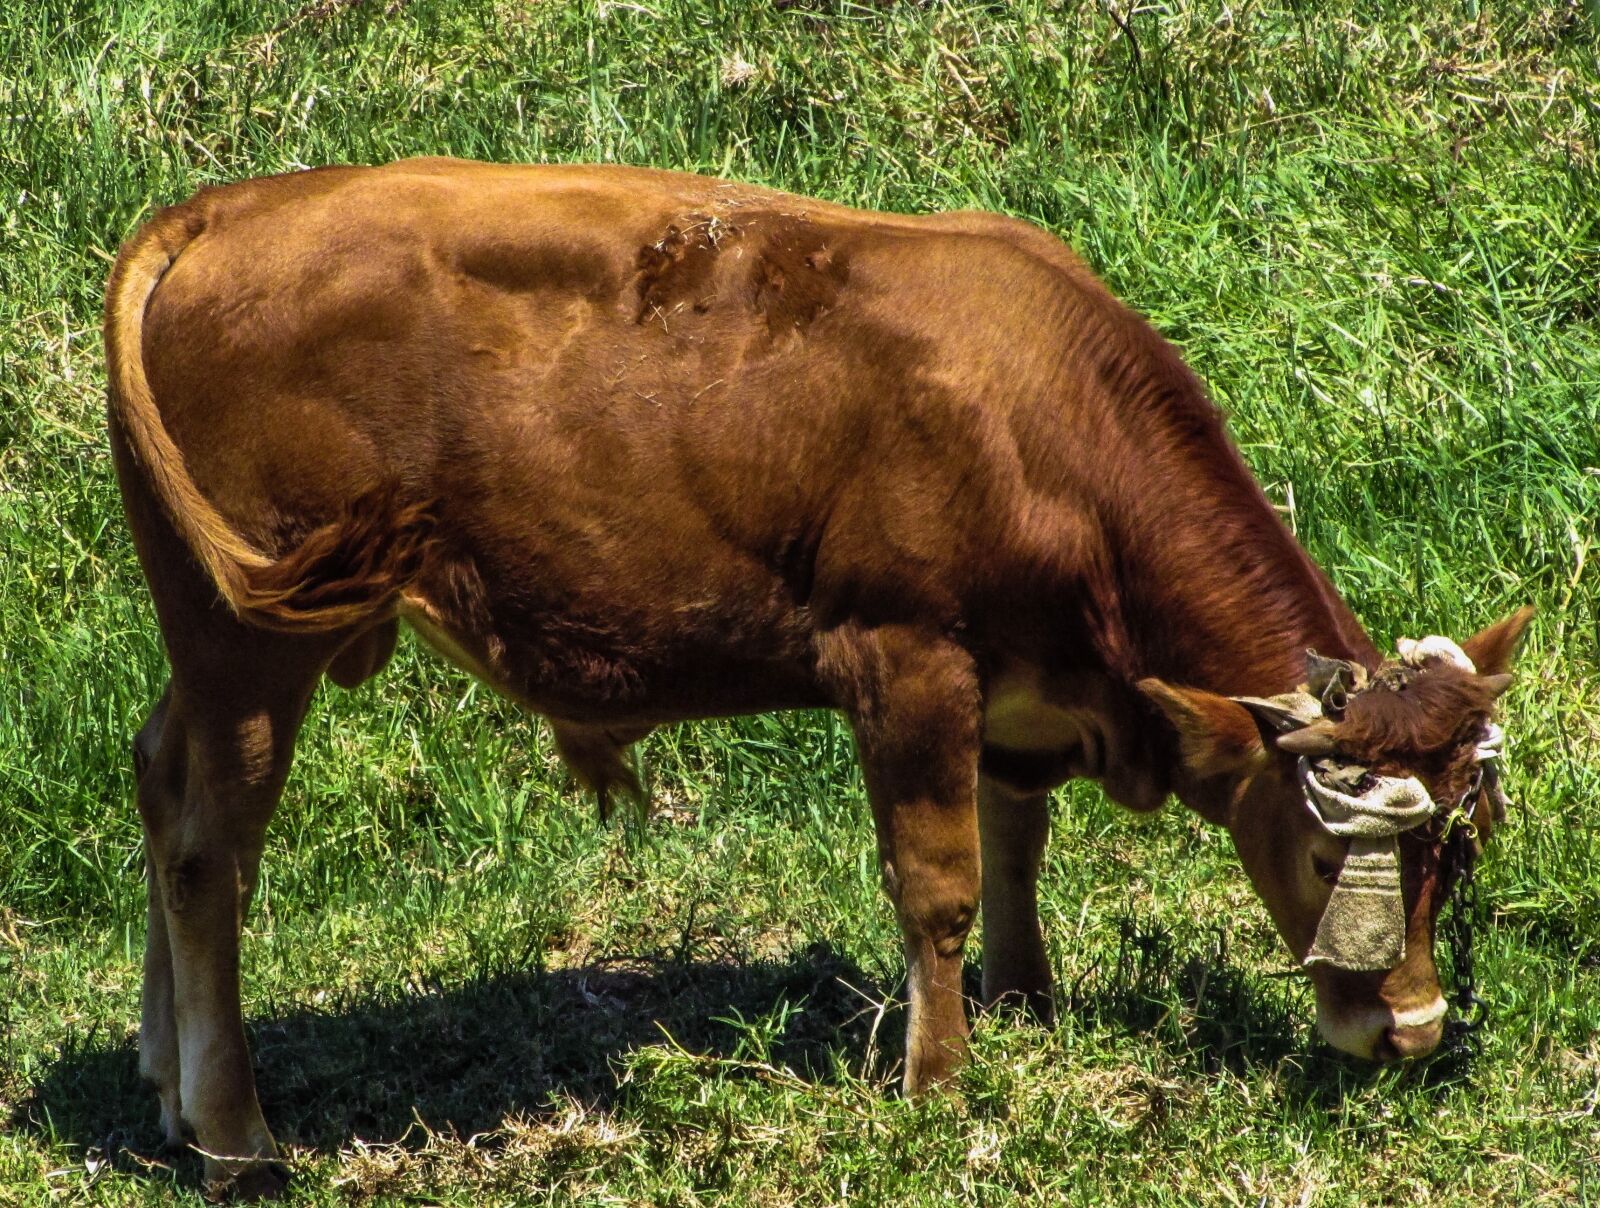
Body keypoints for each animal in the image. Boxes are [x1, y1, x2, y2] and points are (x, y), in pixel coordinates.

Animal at [104, 158, 1530, 1196]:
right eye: (1321, 848)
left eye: (1456, 852)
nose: (1410, 1029)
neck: (1037, 413)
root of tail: (230, 205)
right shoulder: (905, 656)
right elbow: (941, 881)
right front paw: (940, 1083)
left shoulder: (1018, 689)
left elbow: (1016, 838)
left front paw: (1025, 1005)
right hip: (252, 641)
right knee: (210, 847)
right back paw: (236, 1135)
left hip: (207, 633)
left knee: (157, 780)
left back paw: (166, 1087)